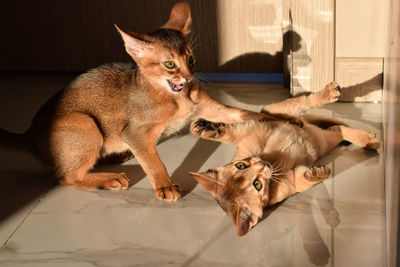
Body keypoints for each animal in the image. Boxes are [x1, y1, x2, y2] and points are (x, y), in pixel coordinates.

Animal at [0, 1, 300, 201]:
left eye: (191, 58)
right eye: (169, 64)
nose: (189, 76)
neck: (177, 97)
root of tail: (30, 133)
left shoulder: (213, 110)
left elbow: (247, 113)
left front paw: (287, 119)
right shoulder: (136, 133)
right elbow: (154, 161)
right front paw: (165, 186)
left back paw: (116, 157)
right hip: (84, 122)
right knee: (65, 176)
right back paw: (110, 179)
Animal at [189, 82, 380, 237]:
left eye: (240, 165)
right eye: (257, 184)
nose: (261, 164)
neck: (273, 161)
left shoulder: (250, 130)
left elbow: (229, 134)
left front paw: (207, 128)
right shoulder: (292, 181)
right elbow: (303, 181)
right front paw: (317, 174)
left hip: (276, 113)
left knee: (304, 103)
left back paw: (326, 95)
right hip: (323, 141)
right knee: (337, 129)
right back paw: (369, 141)